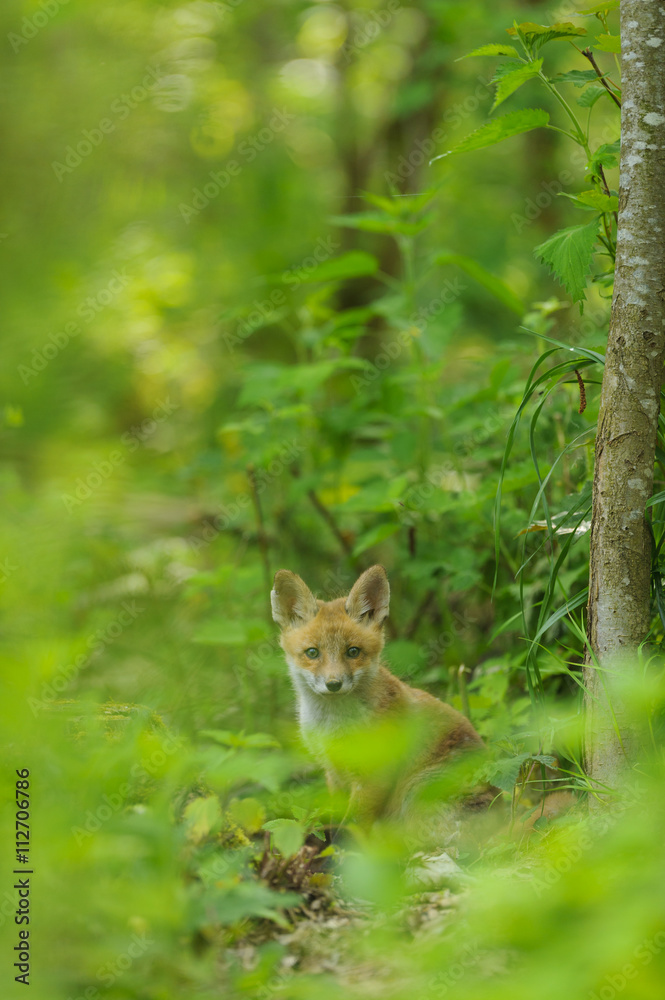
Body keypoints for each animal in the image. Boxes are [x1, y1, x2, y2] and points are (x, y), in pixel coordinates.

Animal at [271, 564, 498, 828]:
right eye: (312, 653)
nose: (334, 684)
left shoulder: (375, 773)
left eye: (353, 652)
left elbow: (351, 826)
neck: (332, 725)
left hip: (417, 791)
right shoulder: (333, 771)